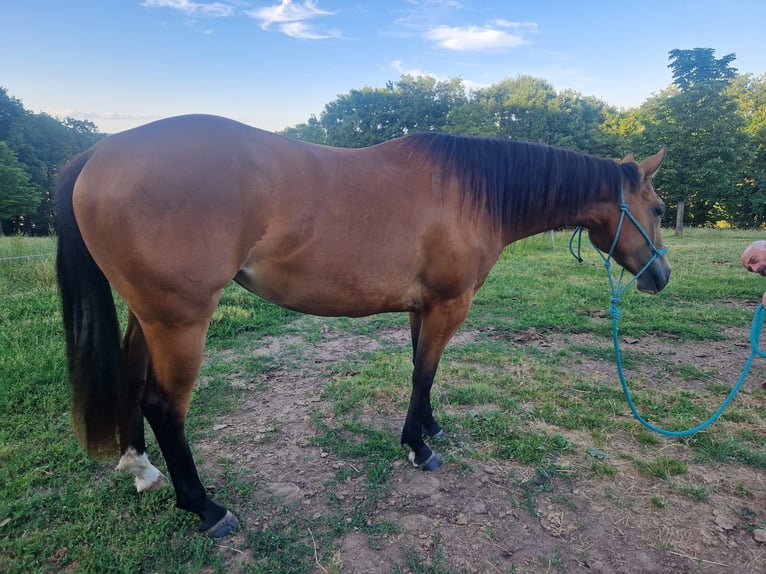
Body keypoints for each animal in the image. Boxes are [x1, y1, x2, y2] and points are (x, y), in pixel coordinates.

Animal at [55, 114, 670, 537]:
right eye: (661, 209)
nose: (661, 276)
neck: (471, 192)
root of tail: (102, 152)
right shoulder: (449, 304)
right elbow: (424, 373)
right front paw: (418, 448)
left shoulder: (424, 308)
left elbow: (424, 370)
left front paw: (429, 428)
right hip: (181, 321)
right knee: (164, 406)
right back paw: (206, 506)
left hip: (149, 316)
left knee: (134, 383)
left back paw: (141, 469)